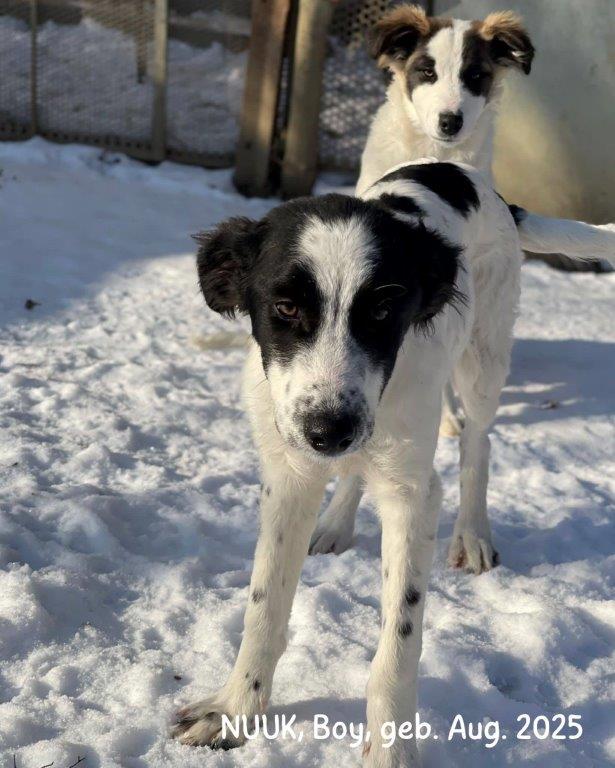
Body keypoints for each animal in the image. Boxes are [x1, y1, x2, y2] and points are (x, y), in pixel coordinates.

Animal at [172, 158, 523, 766]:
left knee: (478, 441)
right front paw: (236, 709)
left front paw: (391, 749)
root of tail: (455, 168)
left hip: (483, 359)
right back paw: (336, 523)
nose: (329, 431)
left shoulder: (412, 494)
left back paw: (473, 533)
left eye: (383, 310)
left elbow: (398, 643)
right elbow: (263, 608)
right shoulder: (288, 476)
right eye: (285, 308)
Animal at [309, 4, 615, 567]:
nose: (450, 120)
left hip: (485, 352)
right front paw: (338, 519)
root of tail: (501, 202)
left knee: (479, 443)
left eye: (476, 76)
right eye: (425, 71)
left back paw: (472, 534)